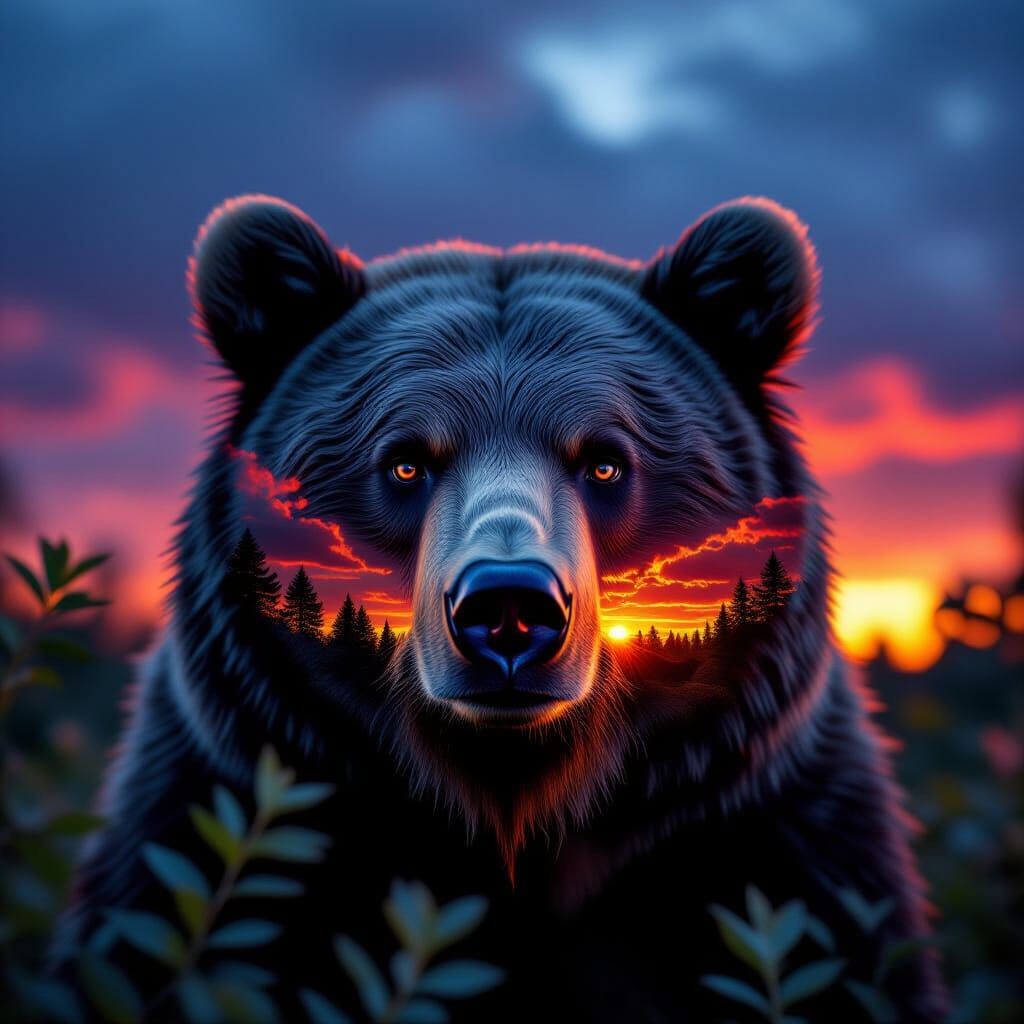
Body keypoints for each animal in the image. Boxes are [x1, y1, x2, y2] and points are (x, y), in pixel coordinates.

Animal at [55, 194, 946, 1022]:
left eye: (605, 461)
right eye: (406, 461)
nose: (509, 608)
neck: (513, 812)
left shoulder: (770, 833)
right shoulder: (221, 805)